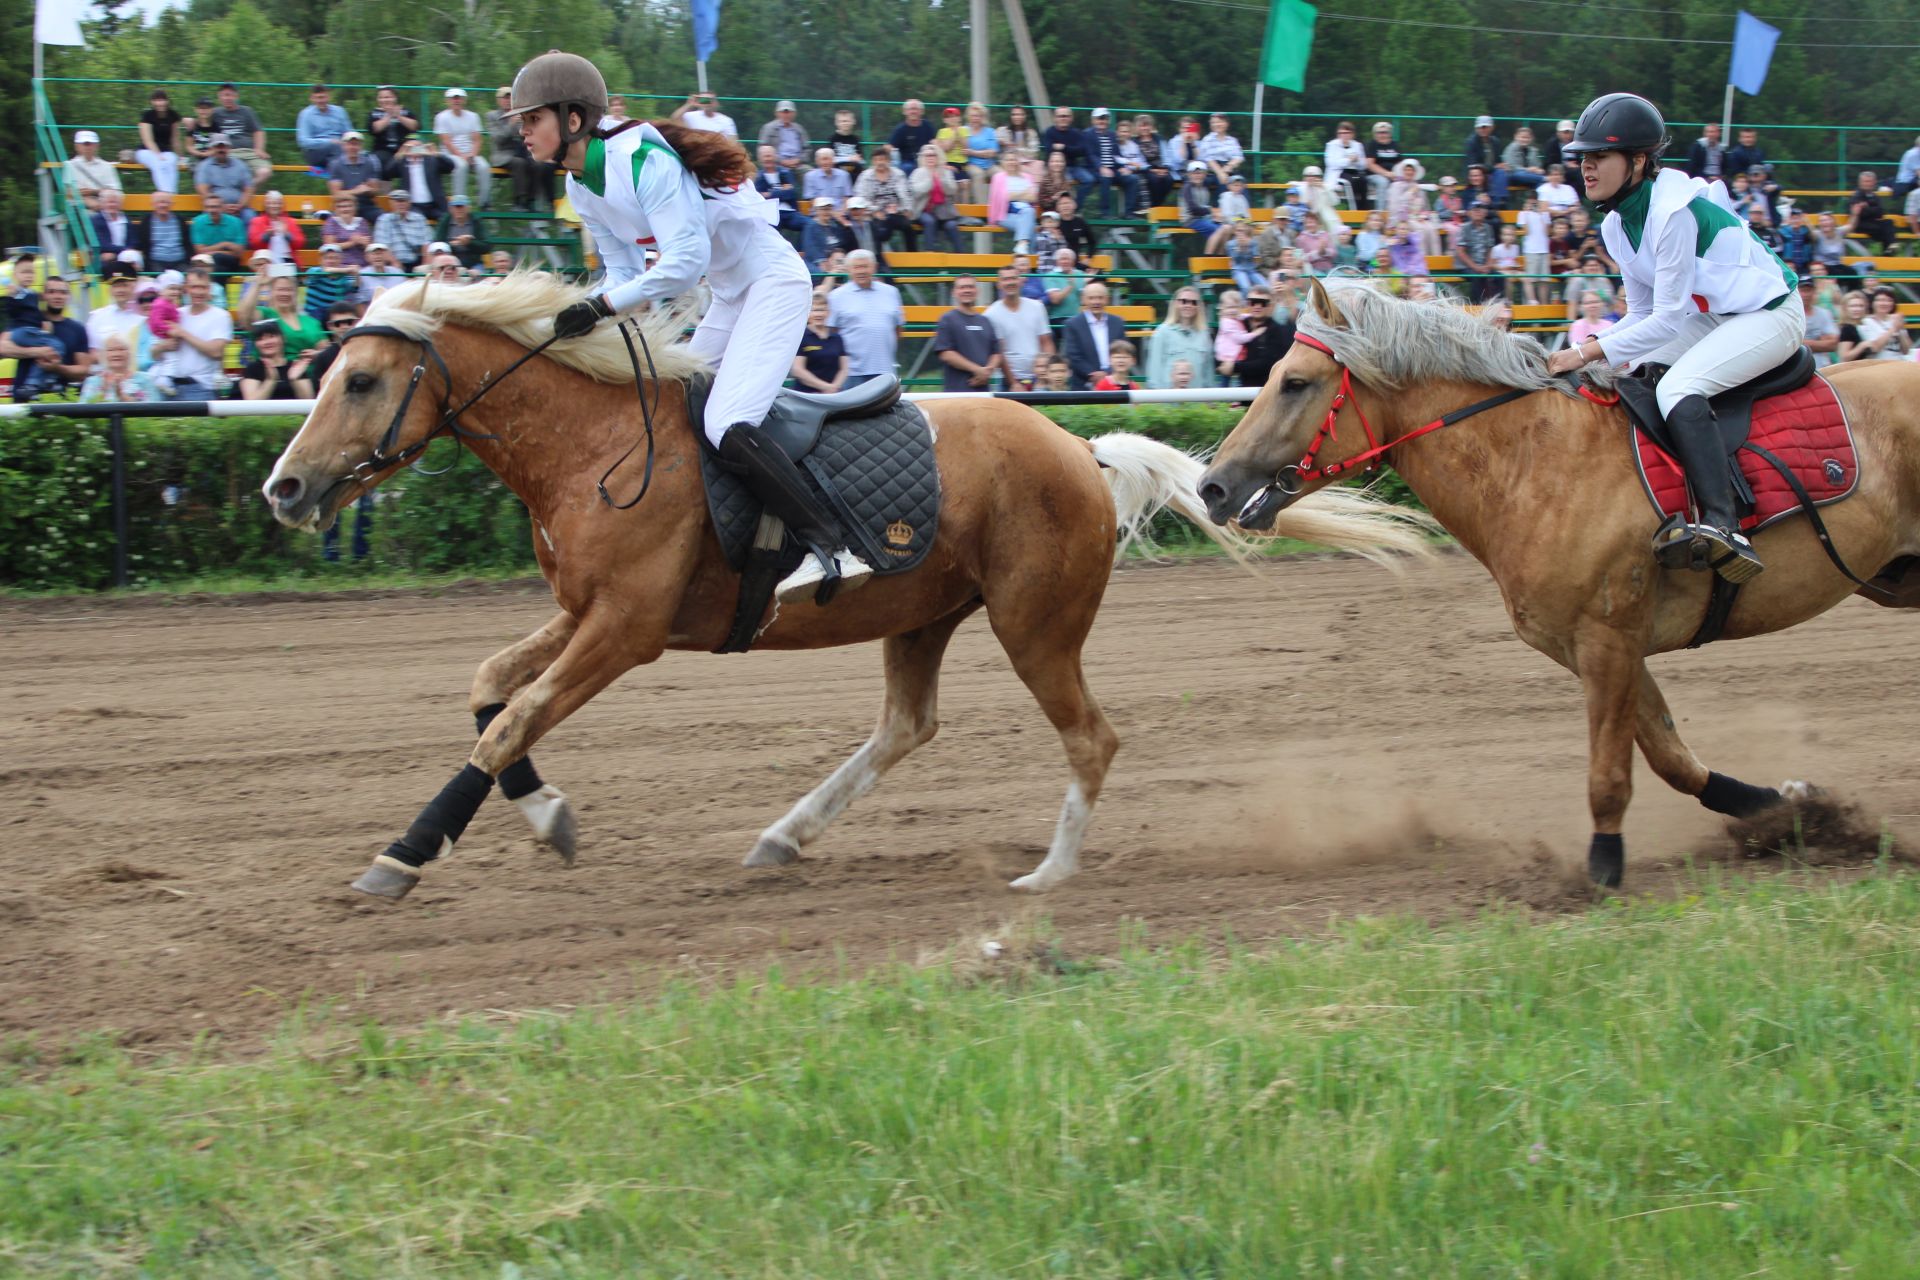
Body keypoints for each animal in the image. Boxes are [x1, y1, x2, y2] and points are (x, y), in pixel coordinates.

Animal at [263, 278, 1428, 901]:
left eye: (359, 380)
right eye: (321, 373)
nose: (284, 486)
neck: (594, 444)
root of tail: (1080, 447)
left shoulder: (627, 627)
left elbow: (511, 718)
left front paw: (404, 853)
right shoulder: (582, 611)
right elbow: (488, 686)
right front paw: (547, 814)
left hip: (1035, 624)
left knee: (1091, 738)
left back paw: (1046, 876)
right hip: (926, 615)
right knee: (907, 726)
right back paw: (785, 835)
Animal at [1198, 276, 1920, 886]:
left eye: (1295, 382)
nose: (1213, 485)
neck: (1538, 463)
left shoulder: (1607, 641)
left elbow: (1610, 773)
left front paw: (1600, 872)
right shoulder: (1596, 647)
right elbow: (1669, 757)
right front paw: (1787, 809)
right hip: (1893, 579)